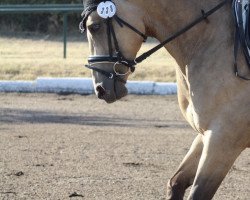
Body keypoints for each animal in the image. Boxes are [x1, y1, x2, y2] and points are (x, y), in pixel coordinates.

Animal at [80, 0, 250, 199]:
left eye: (94, 27)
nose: (100, 89)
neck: (208, 39)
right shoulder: (206, 133)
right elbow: (176, 182)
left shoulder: (223, 140)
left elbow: (198, 193)